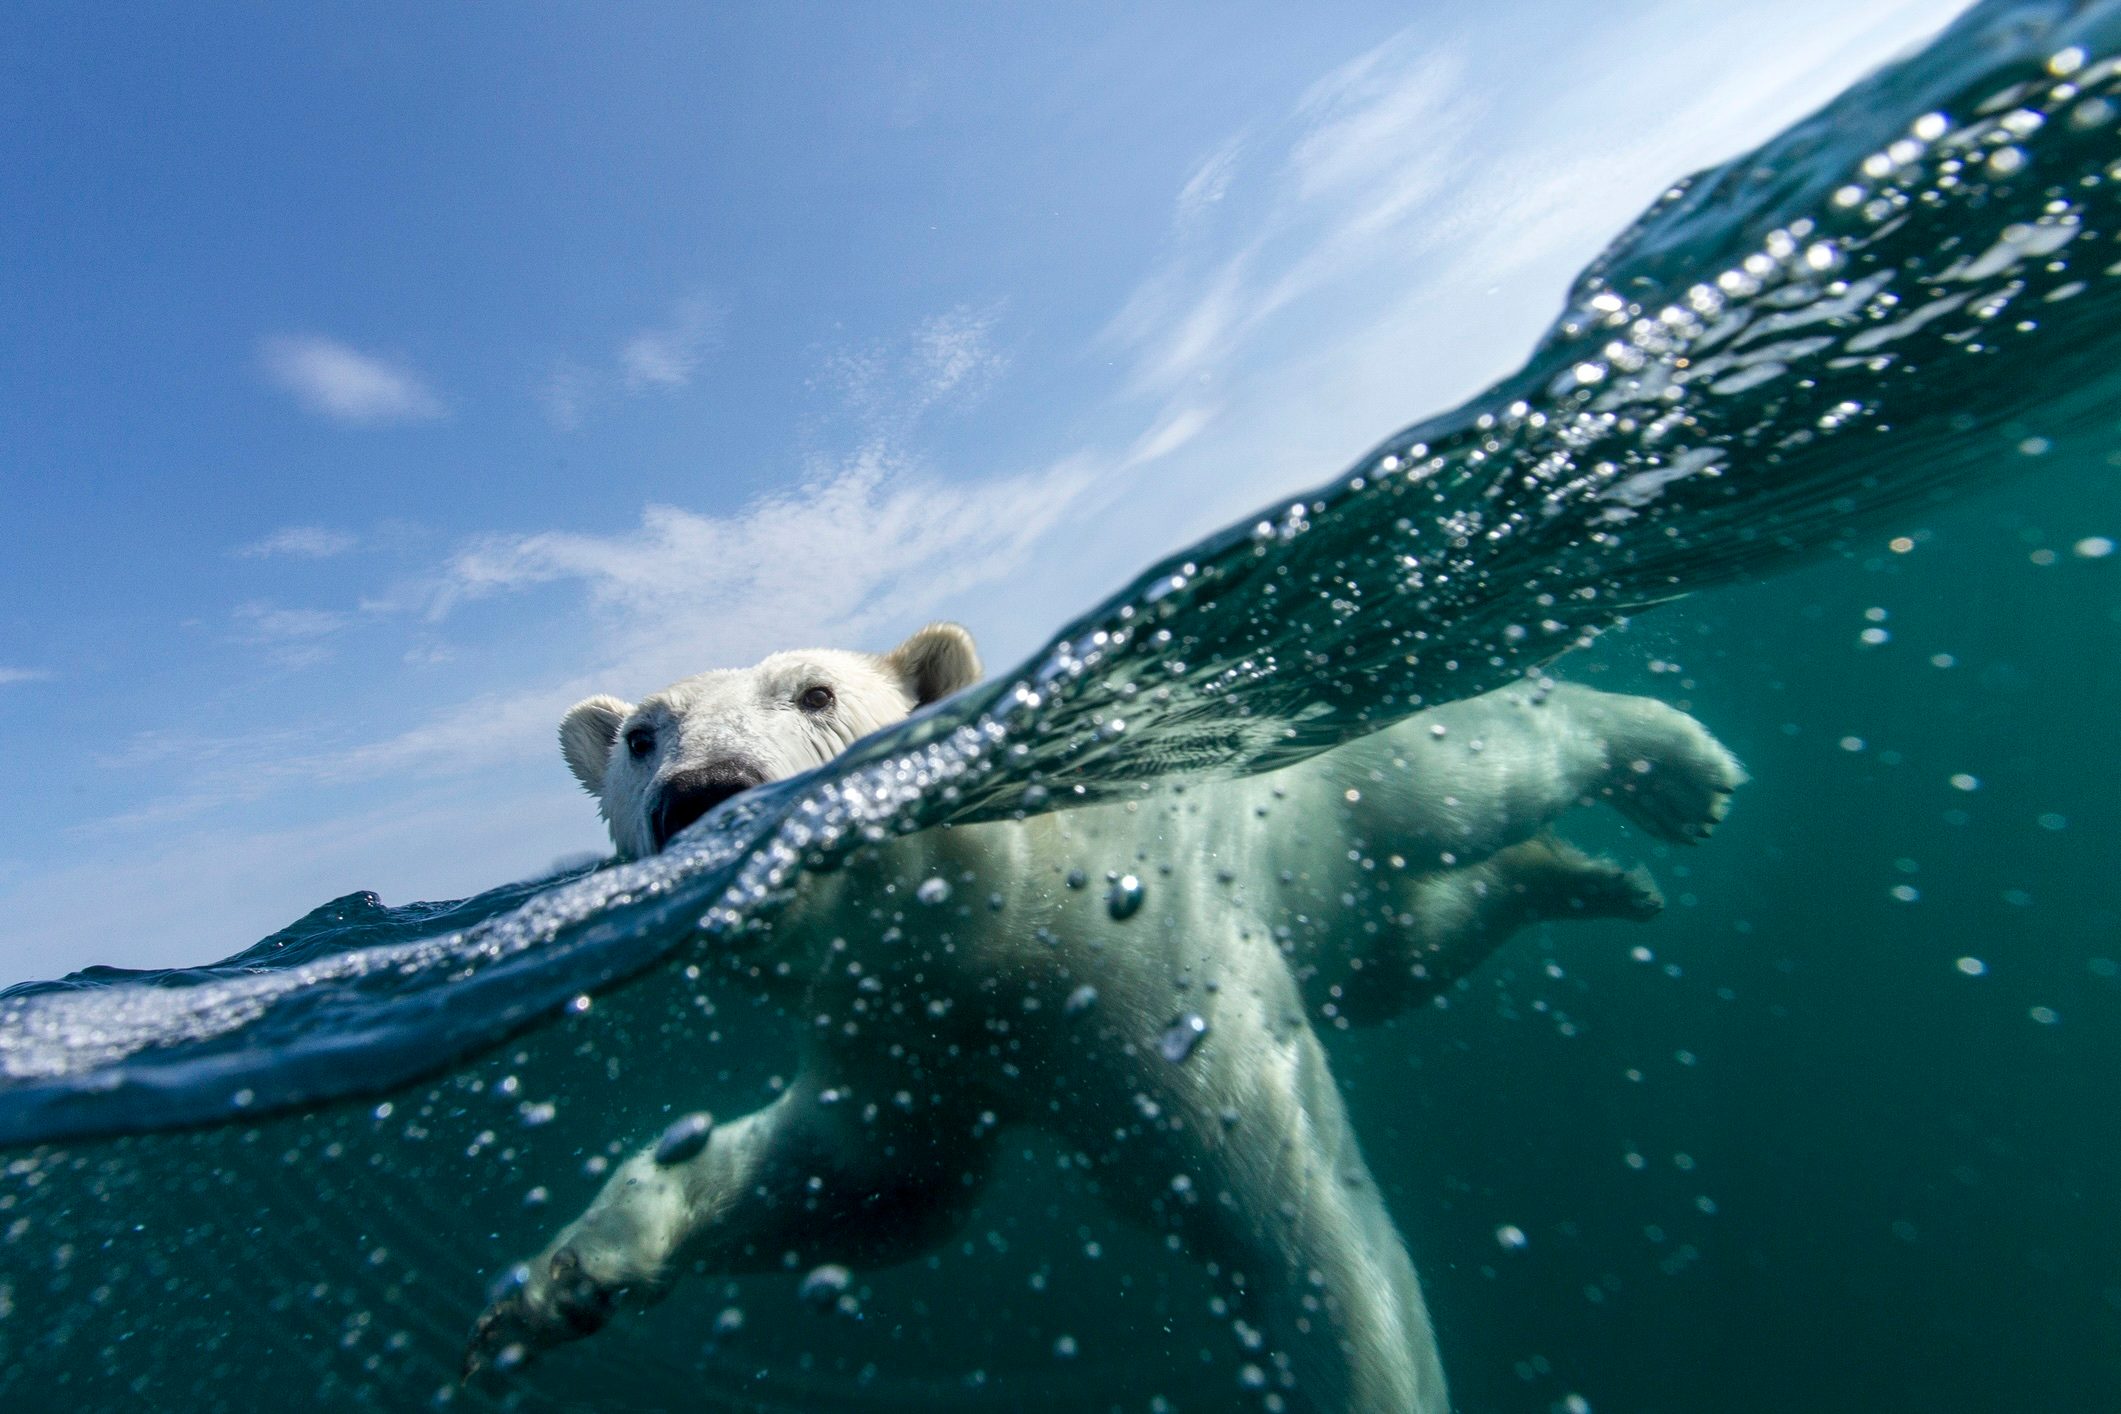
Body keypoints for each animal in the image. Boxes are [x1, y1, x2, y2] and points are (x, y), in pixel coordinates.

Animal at [465, 623, 1743, 1412]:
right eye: (642, 736)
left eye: (817, 693)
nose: (703, 799)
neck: (1001, 913)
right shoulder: (912, 1035)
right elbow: (871, 1184)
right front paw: (555, 1286)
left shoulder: (1147, 955)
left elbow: (1294, 1211)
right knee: (1421, 936)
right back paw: (1588, 876)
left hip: (1333, 788)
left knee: (1473, 771)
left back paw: (1674, 763)